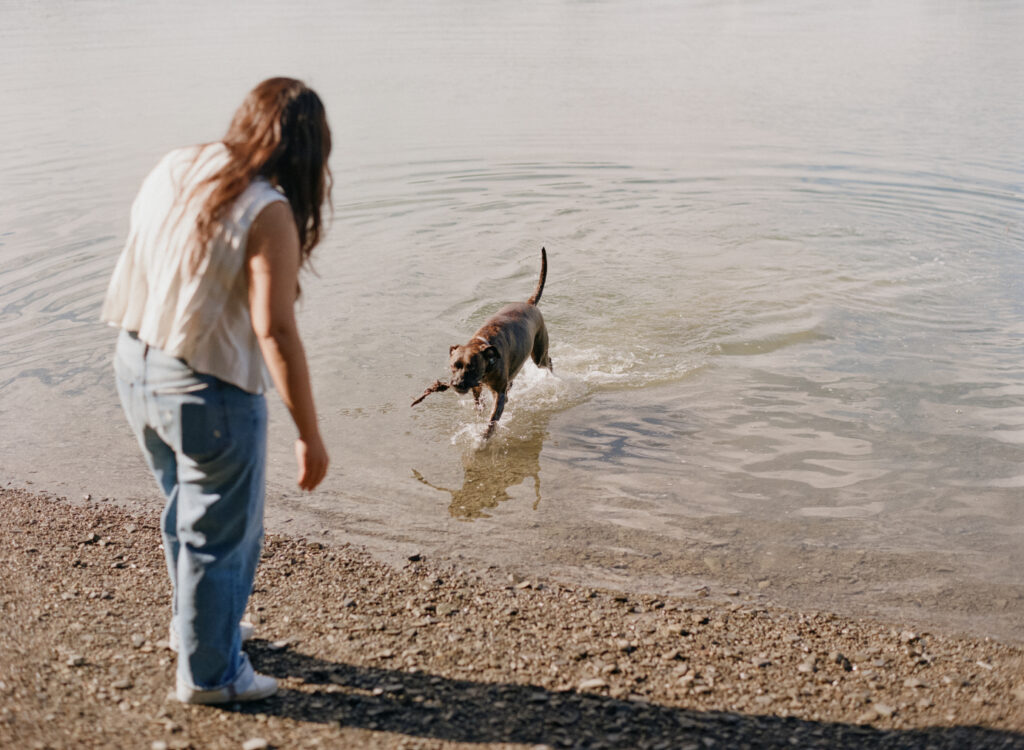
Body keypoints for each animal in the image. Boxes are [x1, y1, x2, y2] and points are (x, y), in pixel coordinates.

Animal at [411, 247, 552, 434]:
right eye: (453, 366)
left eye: (471, 367)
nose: (456, 383)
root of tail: (530, 304)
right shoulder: (477, 386)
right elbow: (478, 401)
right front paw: (479, 412)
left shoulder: (498, 393)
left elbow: (492, 419)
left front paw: (484, 436)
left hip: (539, 354)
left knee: (547, 361)